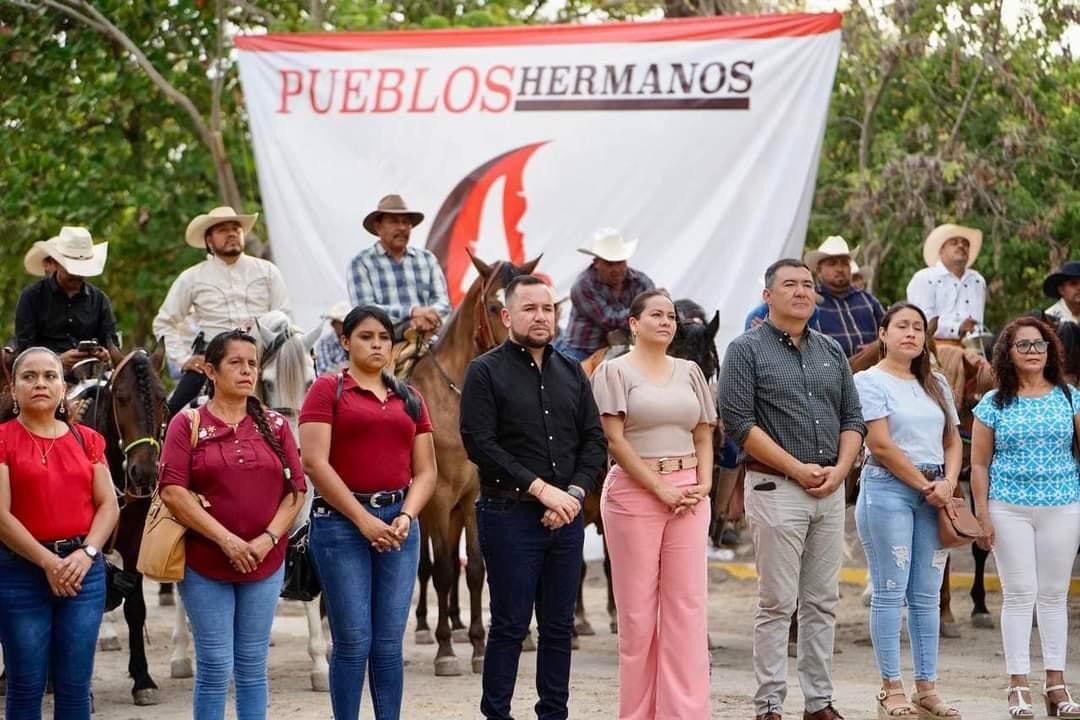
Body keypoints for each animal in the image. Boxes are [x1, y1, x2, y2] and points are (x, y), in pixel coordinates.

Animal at [408, 252, 540, 677]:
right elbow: (444, 571)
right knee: (426, 565)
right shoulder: (437, 496)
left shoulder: (474, 497)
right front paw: (446, 652)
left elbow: (477, 568)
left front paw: (480, 648)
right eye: (496, 306)